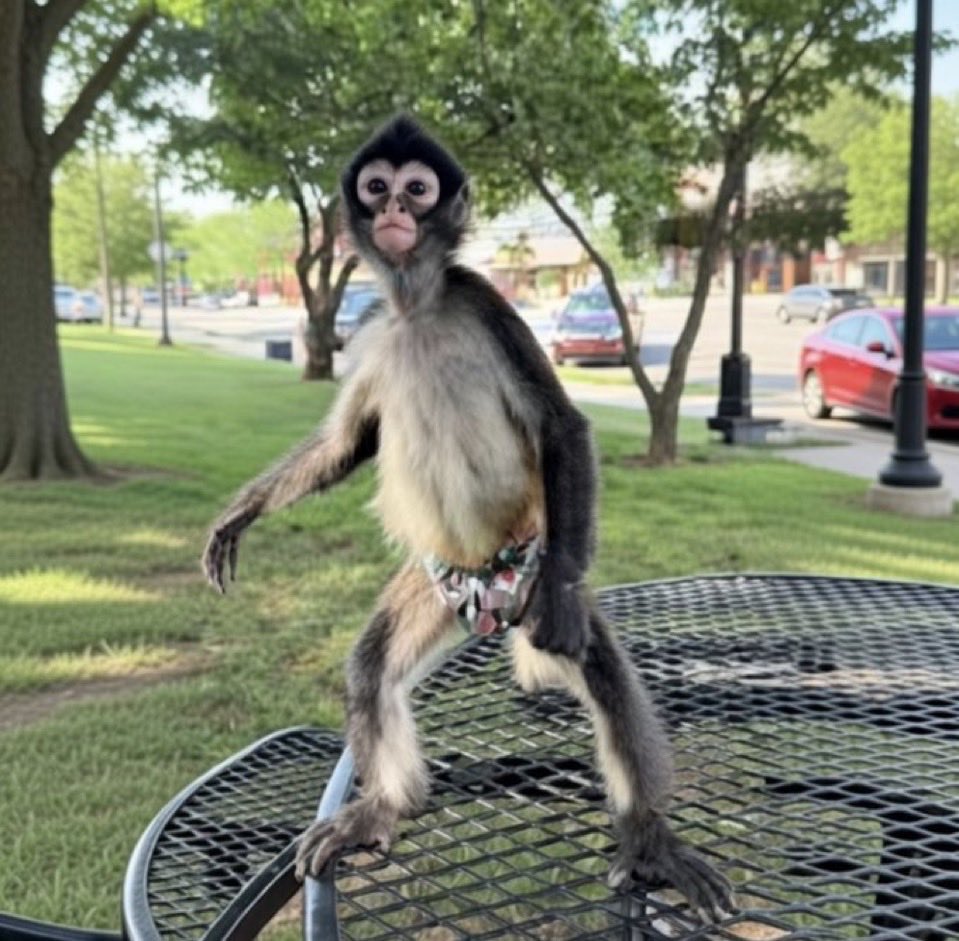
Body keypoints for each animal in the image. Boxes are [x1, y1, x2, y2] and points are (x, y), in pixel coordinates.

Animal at [202, 115, 732, 920]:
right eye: (376, 186)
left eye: (417, 189)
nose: (393, 211)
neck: (417, 306)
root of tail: (488, 601)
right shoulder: (373, 330)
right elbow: (344, 444)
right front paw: (241, 513)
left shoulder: (482, 300)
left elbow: (562, 427)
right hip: (437, 581)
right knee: (371, 668)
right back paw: (381, 807)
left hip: (530, 567)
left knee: (598, 665)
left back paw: (646, 837)